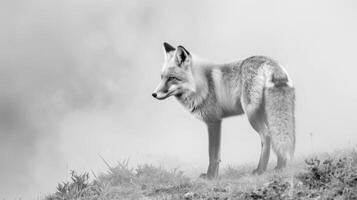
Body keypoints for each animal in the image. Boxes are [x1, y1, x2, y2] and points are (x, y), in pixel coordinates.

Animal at [152, 41, 294, 178]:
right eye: (162, 77)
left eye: (171, 78)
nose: (154, 94)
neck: (202, 84)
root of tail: (270, 62)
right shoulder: (216, 121)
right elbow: (216, 154)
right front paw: (213, 175)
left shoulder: (213, 121)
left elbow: (213, 154)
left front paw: (211, 177)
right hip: (268, 114)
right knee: (278, 136)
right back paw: (280, 168)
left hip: (252, 115)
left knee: (267, 136)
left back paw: (260, 170)